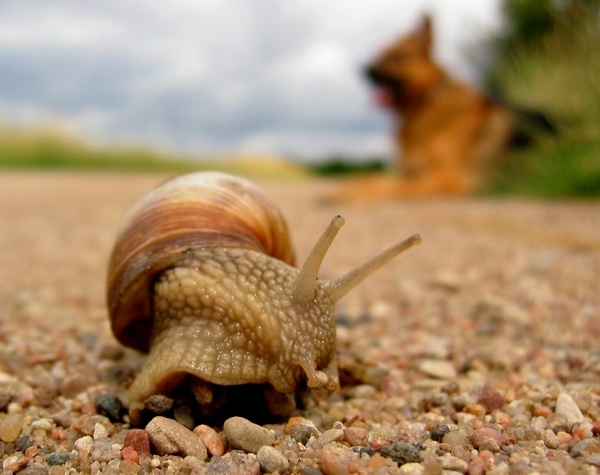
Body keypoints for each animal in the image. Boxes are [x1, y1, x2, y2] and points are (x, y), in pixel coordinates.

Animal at [328, 13, 516, 198]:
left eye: (398, 56)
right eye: (380, 53)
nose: (365, 70)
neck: (423, 103)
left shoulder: (447, 178)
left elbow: (390, 187)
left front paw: (352, 194)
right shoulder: (407, 171)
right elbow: (368, 177)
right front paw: (344, 189)